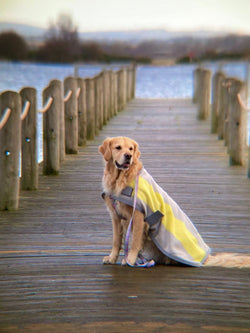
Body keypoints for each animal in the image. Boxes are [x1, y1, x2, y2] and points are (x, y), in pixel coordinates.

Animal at [99, 136, 250, 268]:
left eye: (130, 149)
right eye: (118, 147)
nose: (129, 156)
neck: (120, 178)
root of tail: (205, 258)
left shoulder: (138, 216)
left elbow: (135, 241)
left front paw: (130, 260)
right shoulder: (116, 216)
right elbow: (116, 241)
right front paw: (112, 258)